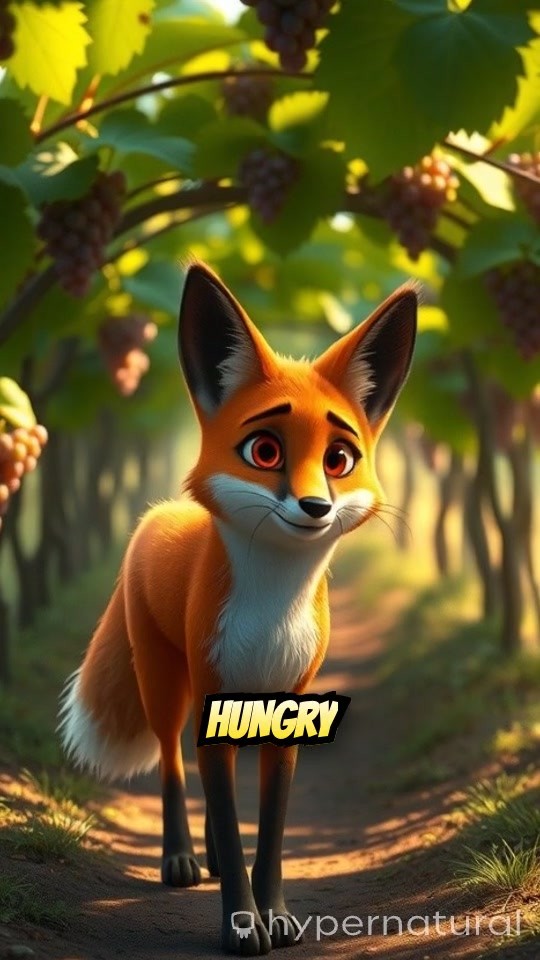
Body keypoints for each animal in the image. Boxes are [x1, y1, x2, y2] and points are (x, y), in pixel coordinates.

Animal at [59, 261, 417, 956]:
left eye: (339, 459)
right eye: (266, 451)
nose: (315, 507)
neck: (271, 617)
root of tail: (155, 515)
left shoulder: (290, 712)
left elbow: (270, 833)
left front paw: (272, 914)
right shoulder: (212, 691)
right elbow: (225, 818)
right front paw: (241, 924)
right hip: (165, 686)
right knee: (173, 765)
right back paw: (180, 860)